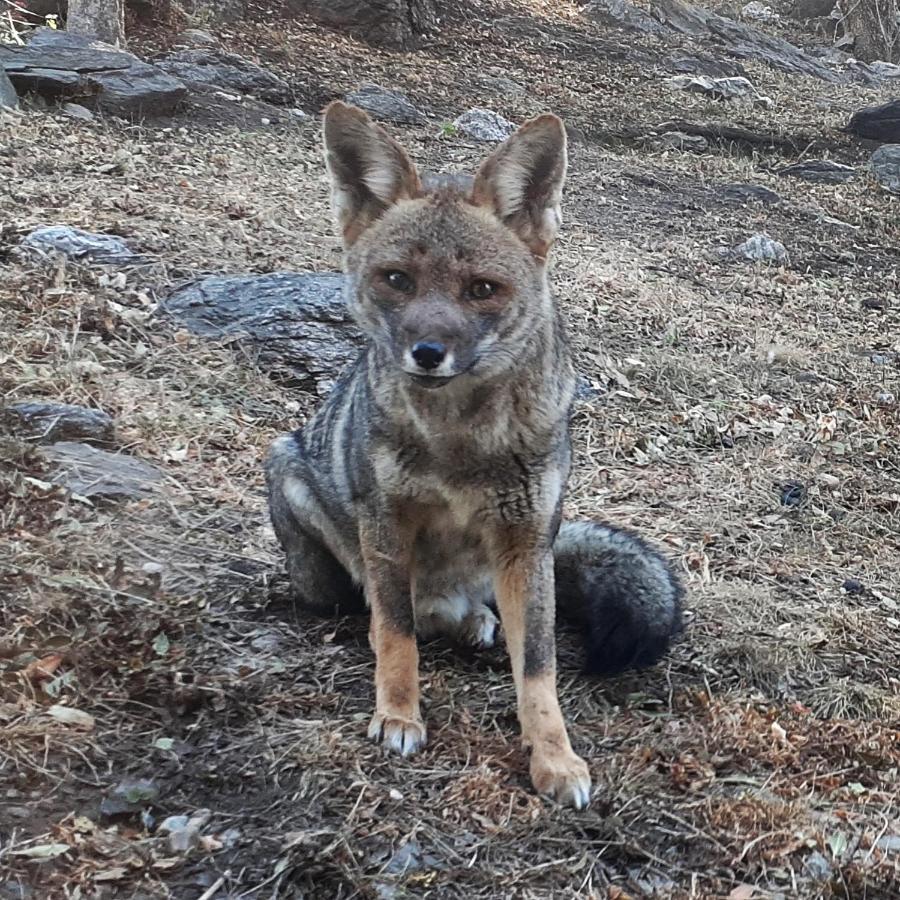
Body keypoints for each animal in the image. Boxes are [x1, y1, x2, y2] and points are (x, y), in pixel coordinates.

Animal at [264, 100, 684, 808]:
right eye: (397, 280)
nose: (428, 353)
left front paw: (554, 757)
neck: (459, 445)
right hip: (293, 479)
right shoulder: (387, 528)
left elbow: (538, 671)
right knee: (390, 610)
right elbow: (395, 634)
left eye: (482, 289)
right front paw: (398, 715)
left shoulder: (526, 540)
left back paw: (474, 623)